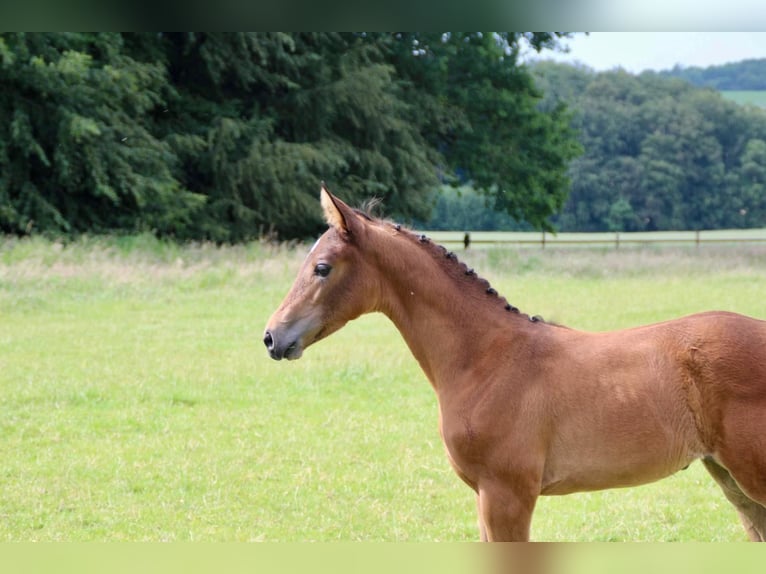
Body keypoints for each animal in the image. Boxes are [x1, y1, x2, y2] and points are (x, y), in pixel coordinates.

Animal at [263, 185, 766, 541]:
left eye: (322, 268)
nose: (272, 337)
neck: (485, 359)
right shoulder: (486, 498)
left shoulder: (507, 496)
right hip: (731, 480)